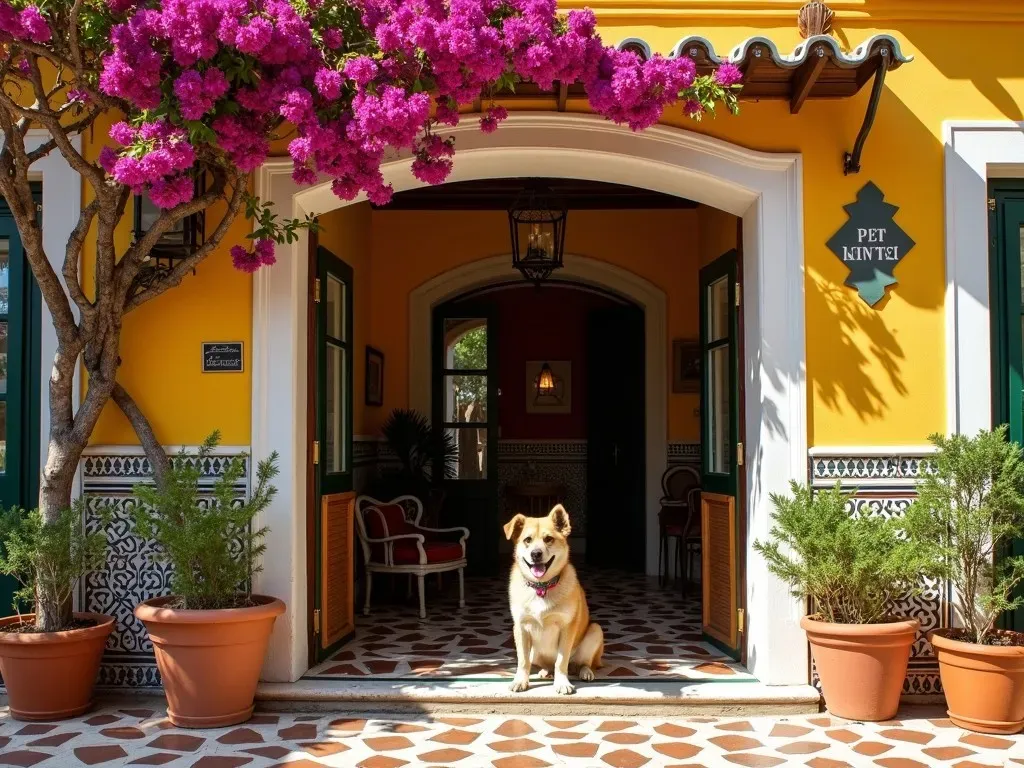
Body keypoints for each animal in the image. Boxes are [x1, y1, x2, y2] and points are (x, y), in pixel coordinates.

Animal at [501, 505, 598, 696]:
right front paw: (520, 681)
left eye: (548, 539)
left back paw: (585, 672)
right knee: (542, 664)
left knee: (580, 663)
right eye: (527, 540)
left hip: (595, 631)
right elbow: (523, 661)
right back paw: (545, 672)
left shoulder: (567, 627)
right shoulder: (521, 627)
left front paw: (562, 683)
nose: (536, 554)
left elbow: (561, 661)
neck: (542, 587)